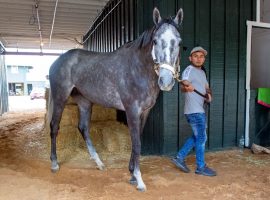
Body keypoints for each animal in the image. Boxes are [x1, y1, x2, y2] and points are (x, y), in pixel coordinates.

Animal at [48, 7, 184, 191]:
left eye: (179, 42)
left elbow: (137, 140)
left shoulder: (144, 112)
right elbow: (136, 143)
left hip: (84, 101)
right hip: (60, 97)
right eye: (155, 41)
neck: (137, 68)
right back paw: (54, 163)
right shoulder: (132, 110)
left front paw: (132, 174)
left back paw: (99, 163)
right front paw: (139, 180)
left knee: (83, 128)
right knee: (54, 126)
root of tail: (58, 60)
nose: (166, 81)